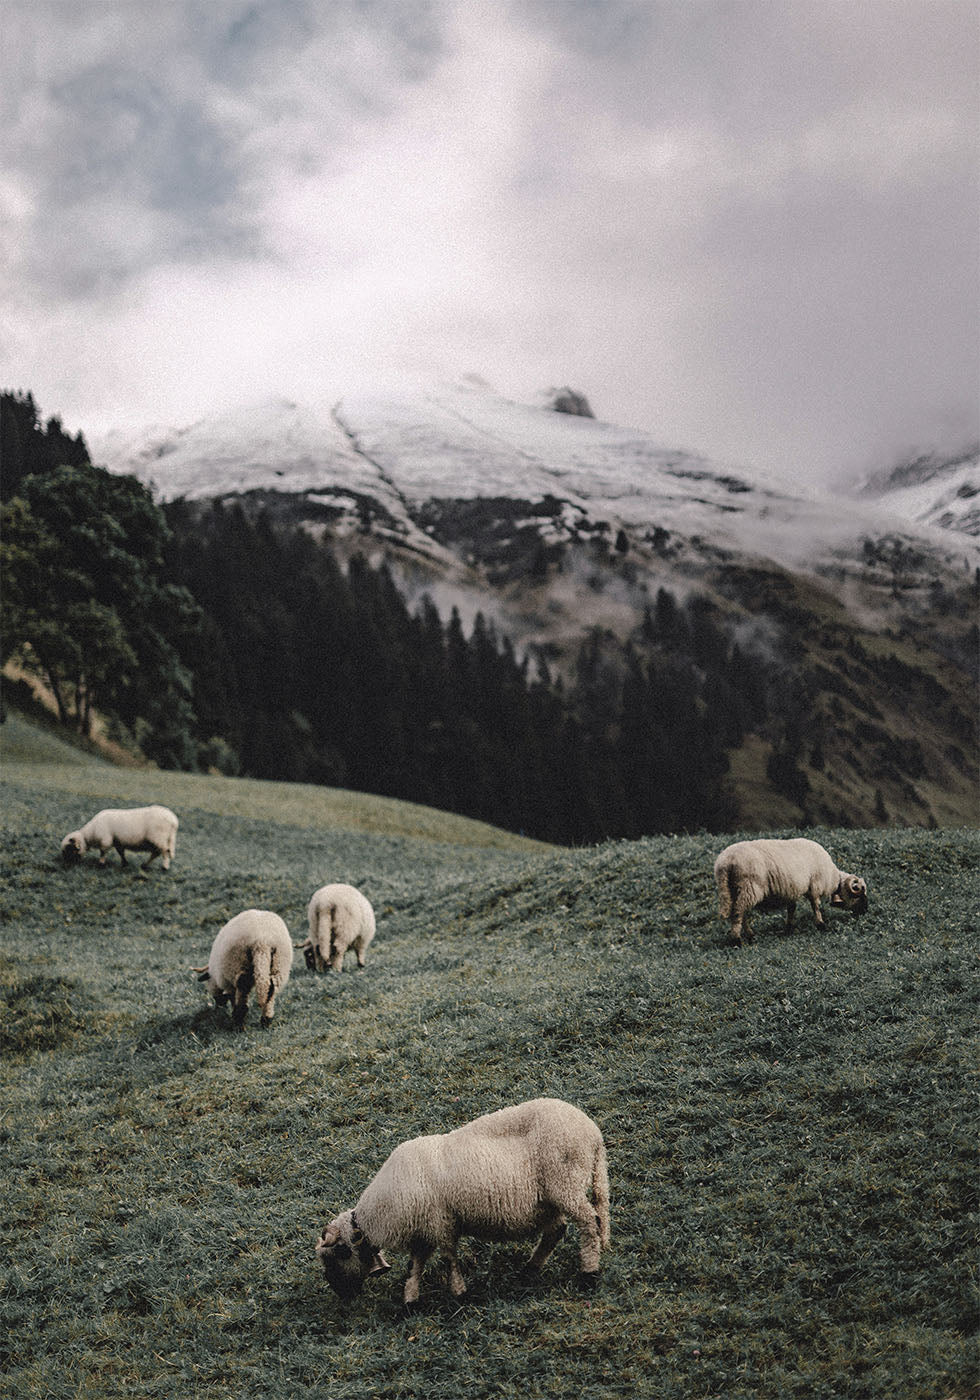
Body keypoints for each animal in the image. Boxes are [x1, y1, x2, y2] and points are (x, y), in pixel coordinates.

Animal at [313, 1097, 607, 1304]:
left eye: (336, 1255)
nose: (340, 1294)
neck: (380, 1213)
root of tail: (593, 1133)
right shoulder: (423, 1233)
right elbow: (414, 1267)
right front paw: (410, 1301)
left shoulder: (440, 1224)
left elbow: (448, 1259)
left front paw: (458, 1292)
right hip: (550, 1200)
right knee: (557, 1230)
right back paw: (531, 1268)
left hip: (565, 1184)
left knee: (590, 1222)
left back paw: (589, 1272)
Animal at [716, 834, 868, 946]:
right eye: (859, 895)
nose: (865, 911)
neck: (832, 877)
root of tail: (725, 863)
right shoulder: (815, 885)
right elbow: (816, 906)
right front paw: (821, 924)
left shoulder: (791, 890)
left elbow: (792, 908)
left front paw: (789, 928)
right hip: (749, 887)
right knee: (739, 912)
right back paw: (737, 940)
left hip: (733, 889)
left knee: (742, 913)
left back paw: (750, 935)